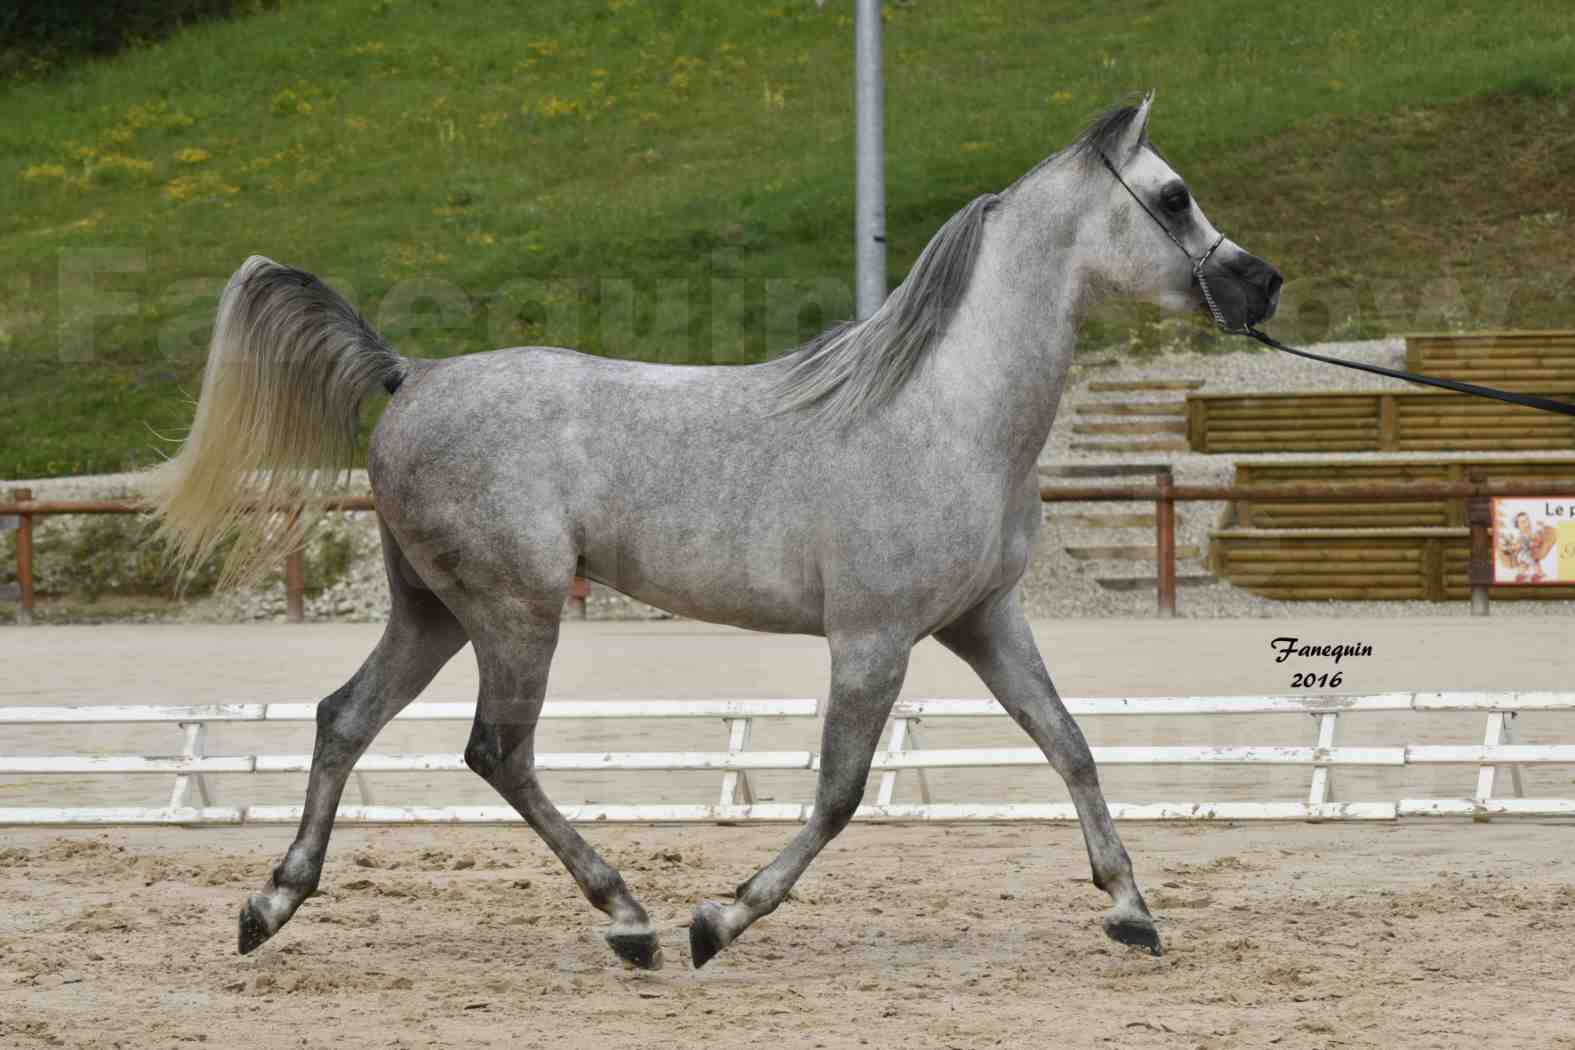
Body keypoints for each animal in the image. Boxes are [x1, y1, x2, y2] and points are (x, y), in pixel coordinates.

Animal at [144, 96, 1278, 969]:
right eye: (1173, 196)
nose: (1260, 285)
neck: (945, 413)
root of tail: (410, 375)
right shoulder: (872, 641)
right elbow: (839, 795)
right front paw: (718, 920)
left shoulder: (984, 623)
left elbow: (1070, 745)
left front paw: (1131, 911)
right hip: (516, 613)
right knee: (498, 752)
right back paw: (632, 920)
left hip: (433, 613)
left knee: (345, 718)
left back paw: (270, 906)